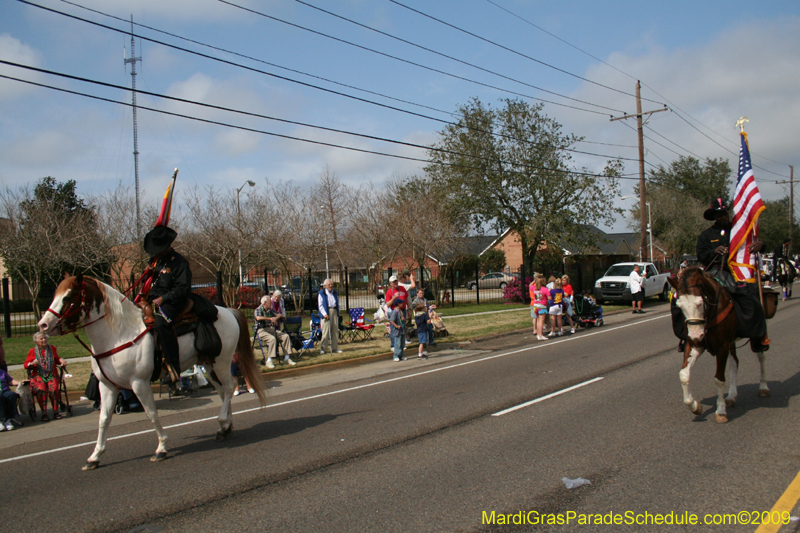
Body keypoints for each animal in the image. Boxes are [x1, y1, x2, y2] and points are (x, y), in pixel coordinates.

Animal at [37, 276, 266, 468]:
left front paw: (161, 448)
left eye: (68, 296)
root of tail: (228, 311)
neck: (119, 334)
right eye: (55, 295)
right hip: (209, 364)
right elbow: (104, 419)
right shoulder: (108, 386)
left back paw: (223, 422)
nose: (43, 325)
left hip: (221, 360)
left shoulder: (139, 383)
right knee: (222, 390)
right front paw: (95, 456)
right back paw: (225, 427)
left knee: (229, 387)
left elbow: (151, 413)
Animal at [668, 268, 768, 422]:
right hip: (731, 344)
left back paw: (763, 387)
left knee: (761, 358)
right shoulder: (695, 345)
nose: (696, 334)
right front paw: (695, 406)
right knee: (734, 363)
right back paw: (731, 396)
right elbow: (684, 375)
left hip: (756, 336)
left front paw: (720, 411)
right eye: (679, 305)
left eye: (700, 302)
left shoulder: (722, 347)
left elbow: (719, 379)